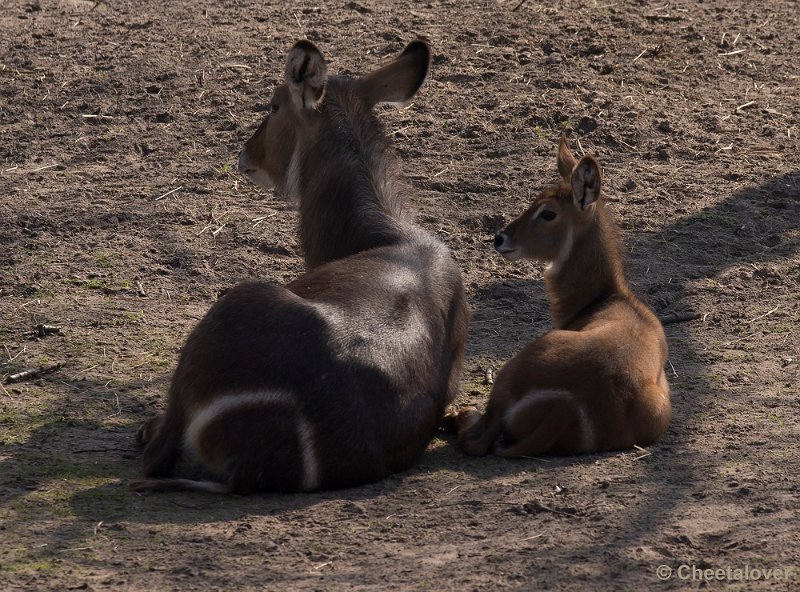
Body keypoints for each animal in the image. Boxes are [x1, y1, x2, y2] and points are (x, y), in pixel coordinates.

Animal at [450, 136, 668, 456]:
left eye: (548, 213)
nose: (500, 238)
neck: (609, 297)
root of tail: (561, 407)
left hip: (516, 366)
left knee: (477, 438)